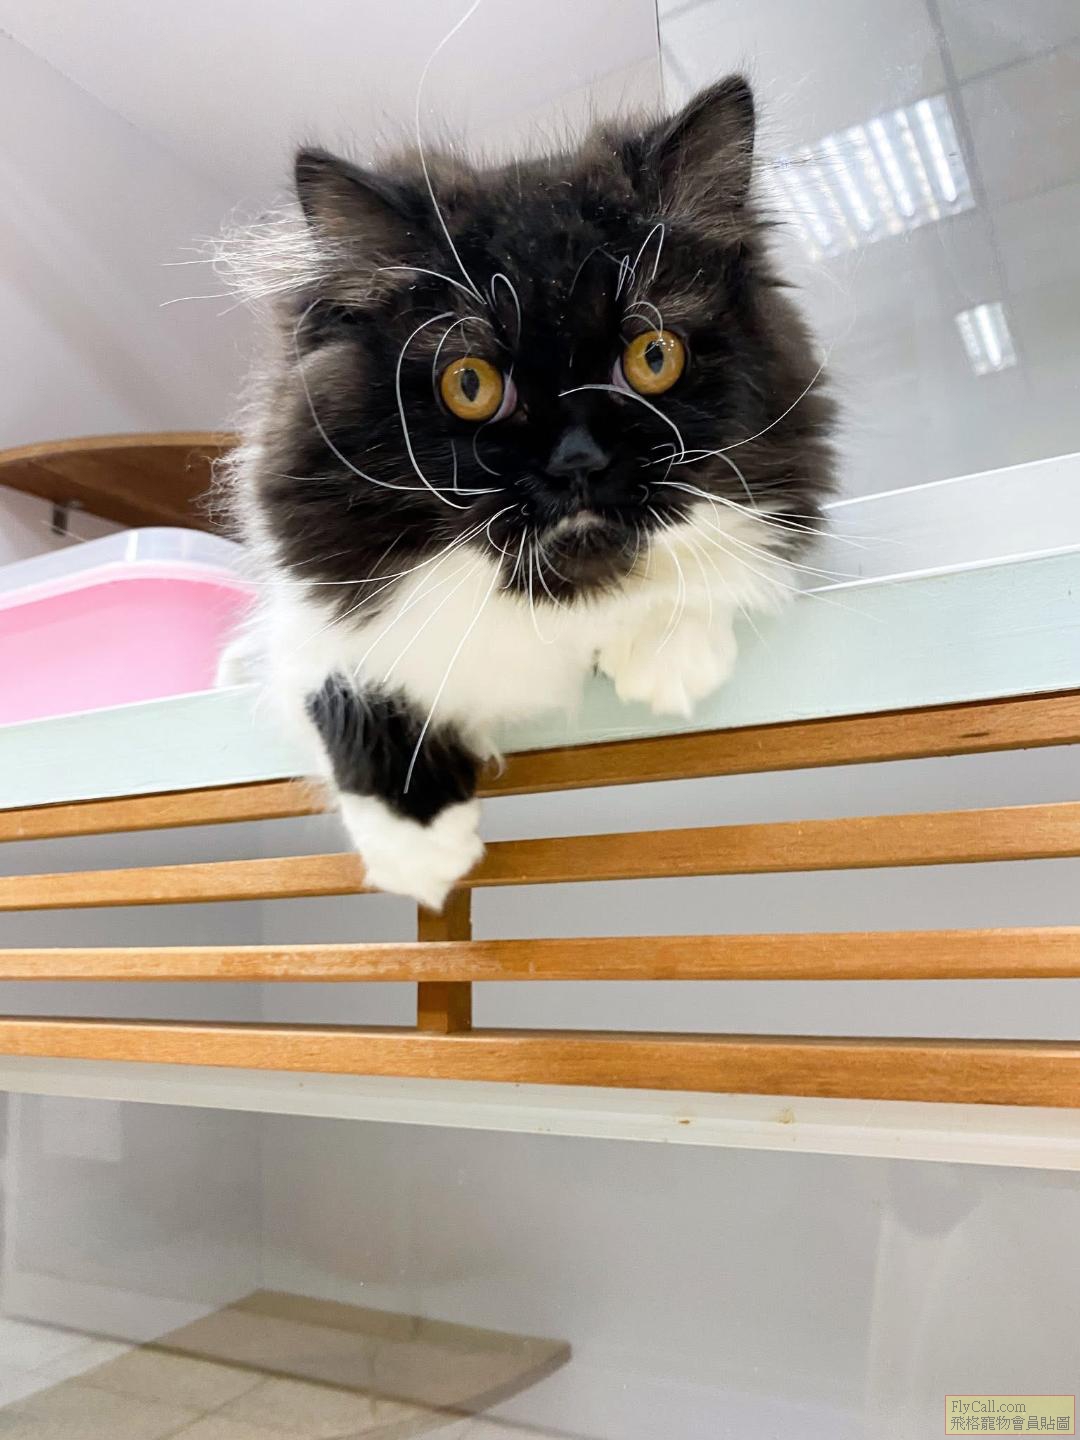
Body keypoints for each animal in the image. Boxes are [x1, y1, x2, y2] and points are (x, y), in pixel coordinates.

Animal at [220, 76, 836, 909]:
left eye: (652, 358)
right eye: (470, 384)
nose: (577, 459)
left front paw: (667, 657)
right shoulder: (304, 619)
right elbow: (344, 681)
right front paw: (421, 851)